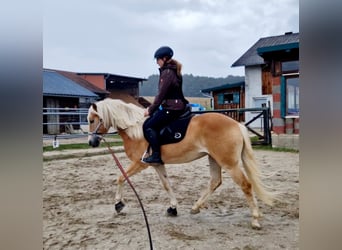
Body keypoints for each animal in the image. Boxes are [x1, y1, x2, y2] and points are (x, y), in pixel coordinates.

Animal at [87, 97, 276, 229]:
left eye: (91, 120)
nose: (91, 142)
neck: (136, 130)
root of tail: (237, 124)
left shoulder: (140, 163)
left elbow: (120, 178)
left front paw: (118, 204)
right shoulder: (157, 164)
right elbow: (166, 185)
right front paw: (173, 208)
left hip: (230, 164)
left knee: (246, 185)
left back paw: (255, 220)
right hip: (214, 159)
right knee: (215, 182)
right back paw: (196, 207)